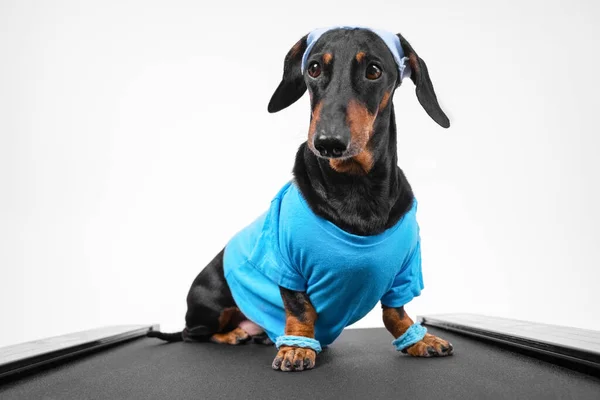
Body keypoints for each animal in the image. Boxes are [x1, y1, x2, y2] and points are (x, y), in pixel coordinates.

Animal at [148, 27, 452, 372]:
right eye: (314, 68)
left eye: (374, 71)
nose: (328, 142)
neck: (354, 187)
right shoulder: (287, 263)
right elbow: (300, 309)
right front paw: (297, 347)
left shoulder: (405, 270)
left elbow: (395, 312)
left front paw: (418, 339)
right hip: (210, 301)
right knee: (193, 334)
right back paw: (233, 334)